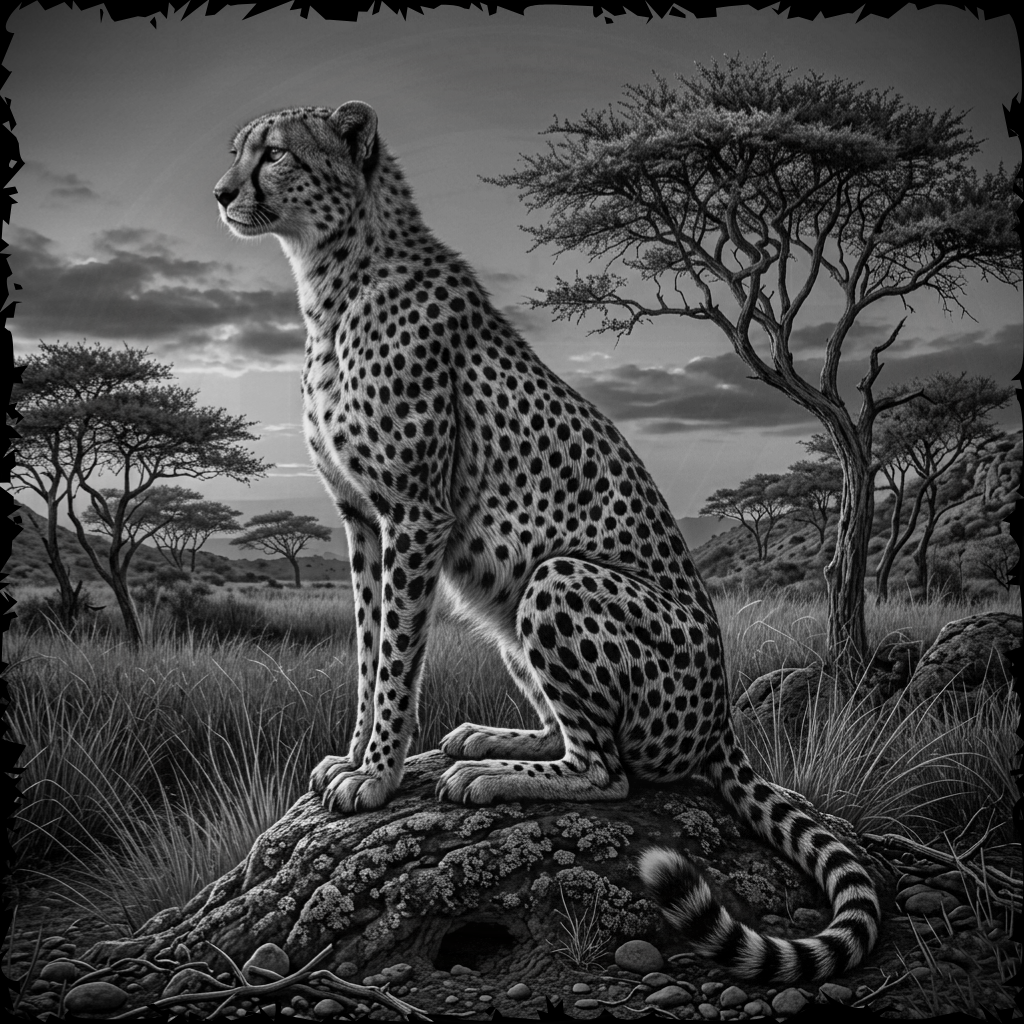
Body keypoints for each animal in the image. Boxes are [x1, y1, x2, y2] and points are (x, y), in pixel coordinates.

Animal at [213, 101, 881, 984]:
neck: (334, 277)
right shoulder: (361, 519)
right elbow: (365, 650)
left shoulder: (414, 515)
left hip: (558, 578)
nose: (221, 193)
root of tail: (722, 724)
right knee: (573, 732)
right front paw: (352, 760)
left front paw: (378, 777)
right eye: (238, 152)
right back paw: (490, 739)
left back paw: (485, 775)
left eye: (276, 155)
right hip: (510, 614)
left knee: (609, 770)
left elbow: (394, 660)